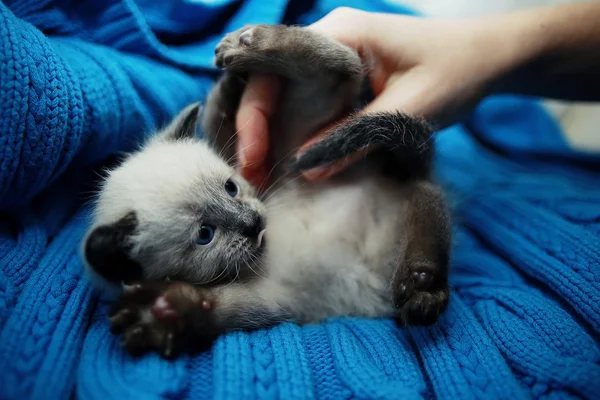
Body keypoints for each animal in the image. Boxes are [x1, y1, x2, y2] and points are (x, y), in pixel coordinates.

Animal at [83, 25, 450, 356]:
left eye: (231, 188)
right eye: (205, 234)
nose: (252, 223)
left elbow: (220, 120)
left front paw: (233, 81)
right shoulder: (271, 300)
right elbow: (208, 307)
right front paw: (159, 313)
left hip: (305, 147)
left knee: (341, 65)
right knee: (425, 198)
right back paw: (422, 288)